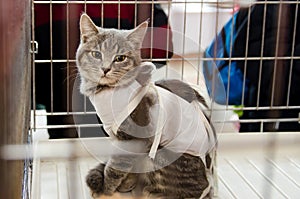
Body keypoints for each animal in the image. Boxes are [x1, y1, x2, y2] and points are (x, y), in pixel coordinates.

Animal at [75, 13, 216, 198]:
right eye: (96, 54)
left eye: (120, 58)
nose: (105, 69)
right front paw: (126, 184)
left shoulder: (133, 138)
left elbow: (115, 168)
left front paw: (107, 190)